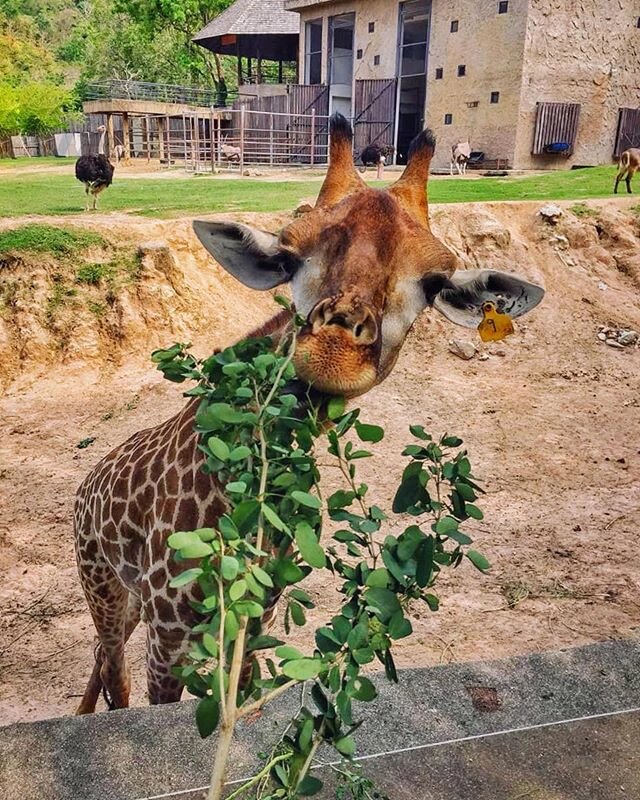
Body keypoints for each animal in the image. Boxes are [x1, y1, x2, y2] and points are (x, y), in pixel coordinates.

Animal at [75, 112, 544, 712]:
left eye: (434, 282)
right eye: (288, 256)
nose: (333, 349)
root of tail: (85, 487)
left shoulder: (252, 620)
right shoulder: (171, 633)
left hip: (129, 601)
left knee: (102, 663)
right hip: (105, 587)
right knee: (114, 668)